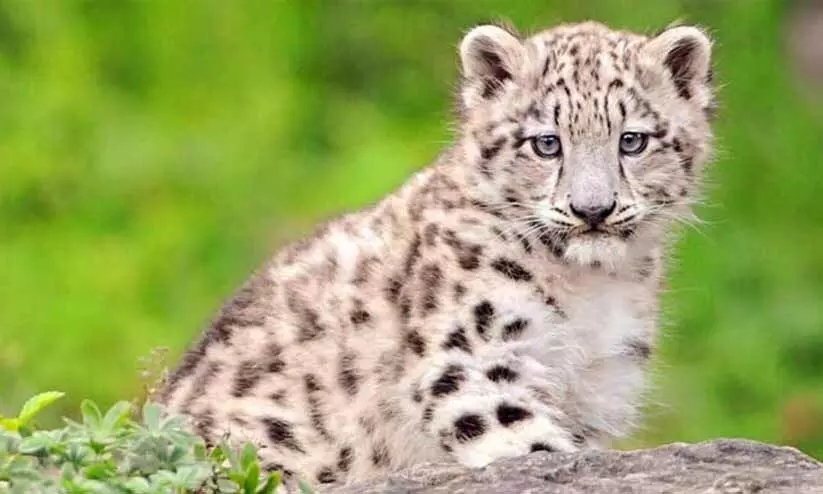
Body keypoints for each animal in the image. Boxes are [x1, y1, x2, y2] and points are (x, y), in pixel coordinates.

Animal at [158, 20, 715, 491]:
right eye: (546, 143)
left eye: (632, 140)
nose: (592, 209)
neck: (591, 288)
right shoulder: (471, 355)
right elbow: (523, 439)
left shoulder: (600, 383)